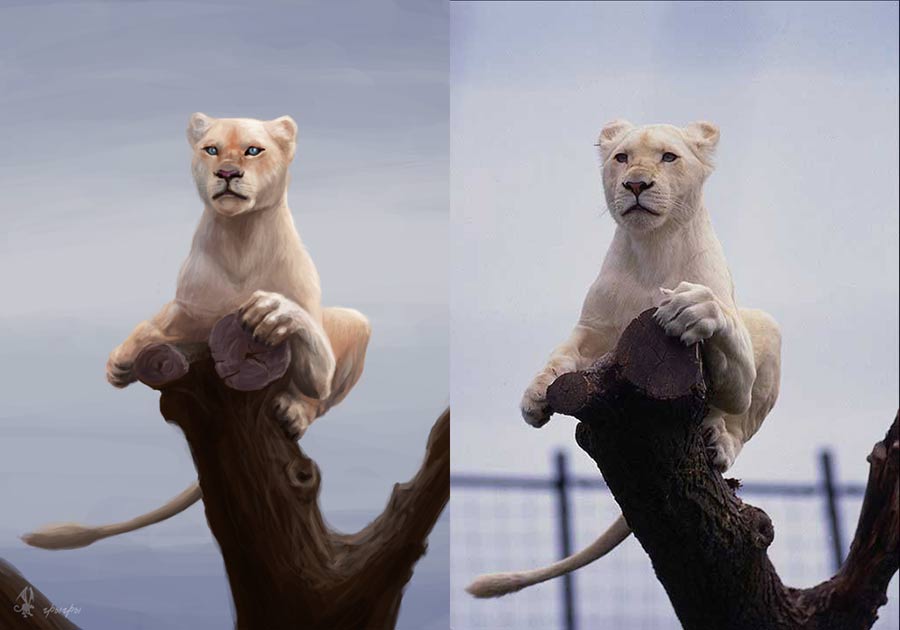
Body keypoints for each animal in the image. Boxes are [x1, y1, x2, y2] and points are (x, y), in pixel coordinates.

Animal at [22, 113, 371, 550]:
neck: (240, 238)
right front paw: (119, 363)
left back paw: (292, 412)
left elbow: (314, 364)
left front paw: (269, 313)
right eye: (212, 149)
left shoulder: (316, 344)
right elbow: (157, 321)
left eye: (253, 150)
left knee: (319, 398)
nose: (228, 172)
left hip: (358, 324)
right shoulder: (189, 312)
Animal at [467, 120, 782, 598]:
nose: (636, 184)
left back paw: (717, 441)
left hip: (769, 330)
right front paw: (535, 395)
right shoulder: (594, 330)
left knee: (739, 423)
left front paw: (689, 308)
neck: (653, 246)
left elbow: (720, 333)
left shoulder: (736, 375)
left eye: (669, 157)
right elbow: (562, 354)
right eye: (622, 158)